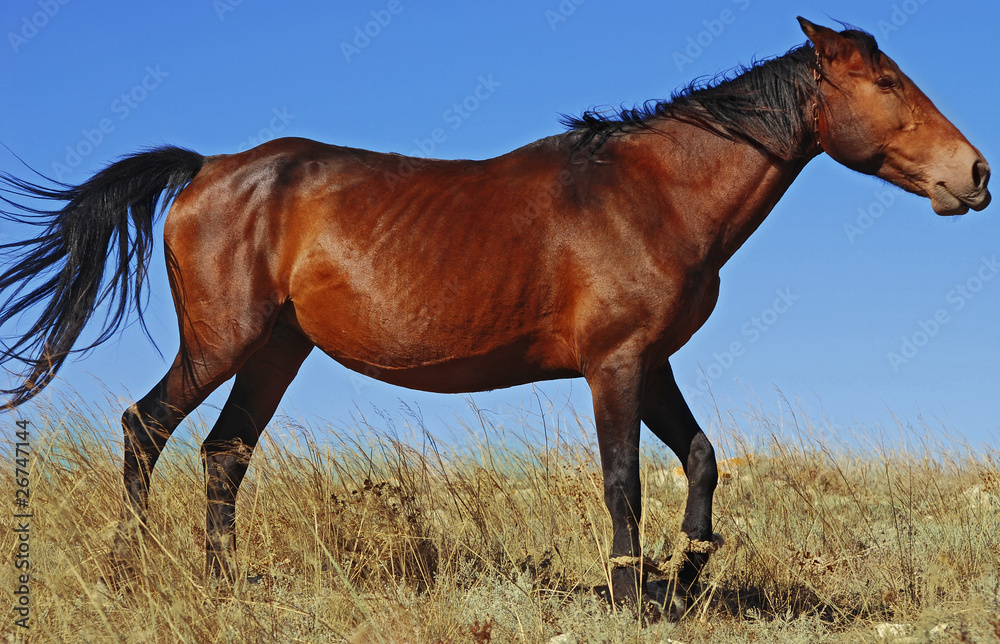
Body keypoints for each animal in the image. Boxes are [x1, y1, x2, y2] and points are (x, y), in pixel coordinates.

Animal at [0, 18, 990, 613]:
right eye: (890, 84)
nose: (975, 175)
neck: (650, 194)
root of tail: (208, 169)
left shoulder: (653, 362)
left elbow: (704, 460)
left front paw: (685, 570)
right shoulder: (614, 364)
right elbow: (623, 481)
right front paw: (631, 594)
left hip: (277, 350)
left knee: (222, 454)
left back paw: (225, 584)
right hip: (221, 340)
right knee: (146, 427)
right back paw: (134, 573)